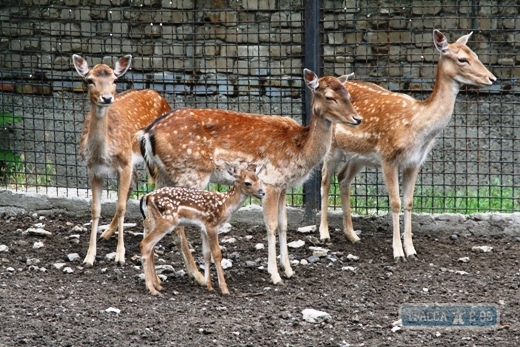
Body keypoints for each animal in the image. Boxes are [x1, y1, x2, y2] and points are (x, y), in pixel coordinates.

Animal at [73, 54, 172, 266]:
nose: (107, 98)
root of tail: (159, 95)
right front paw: (89, 256)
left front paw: (120, 256)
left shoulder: (124, 163)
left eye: (114, 80)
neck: (101, 153)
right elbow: (95, 209)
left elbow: (120, 207)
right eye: (90, 80)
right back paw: (107, 233)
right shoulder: (93, 169)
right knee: (135, 182)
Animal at [139, 164, 264, 294]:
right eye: (247, 183)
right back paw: (152, 289)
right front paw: (224, 288)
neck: (225, 205)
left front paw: (209, 286)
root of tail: (147, 196)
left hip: (152, 221)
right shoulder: (212, 225)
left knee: (150, 248)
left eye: (259, 180)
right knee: (146, 244)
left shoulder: (203, 228)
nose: (262, 192)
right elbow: (217, 254)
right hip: (166, 221)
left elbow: (206, 254)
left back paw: (157, 285)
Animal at [318, 29, 498, 260]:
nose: (492, 78)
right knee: (325, 179)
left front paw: (411, 250)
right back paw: (324, 233)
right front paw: (397, 252)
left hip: (360, 156)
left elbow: (409, 202)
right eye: (462, 59)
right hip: (332, 147)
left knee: (342, 178)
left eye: (475, 54)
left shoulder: (415, 162)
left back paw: (352, 235)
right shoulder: (388, 157)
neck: (417, 126)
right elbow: (394, 203)